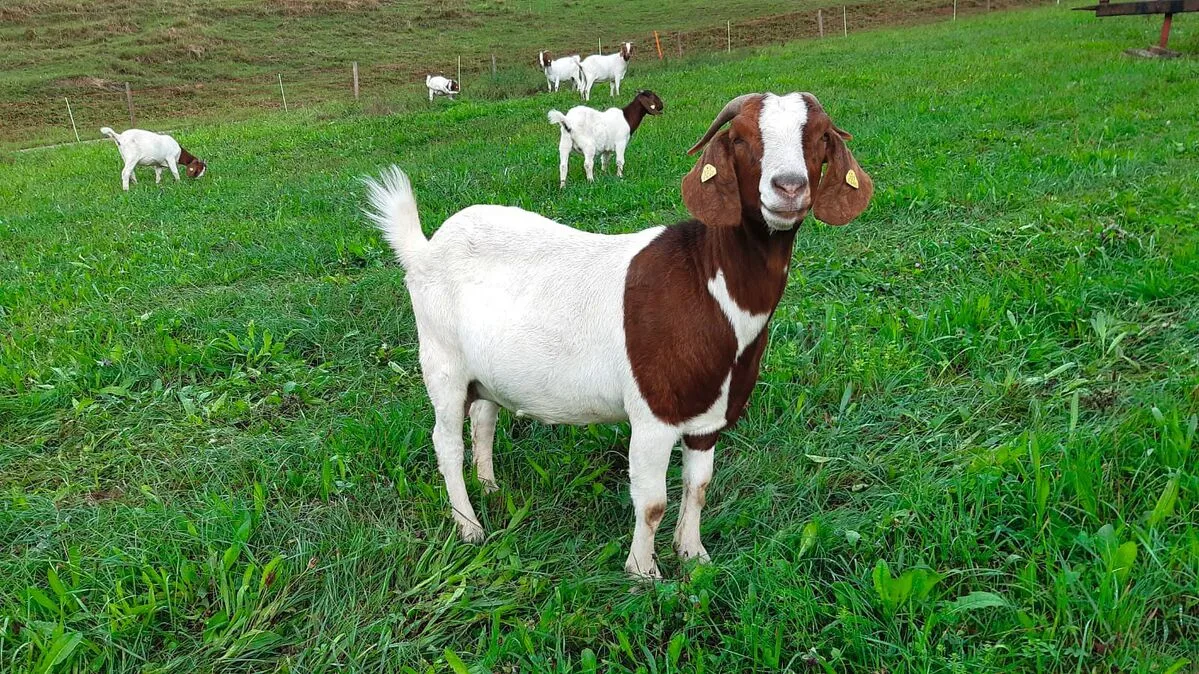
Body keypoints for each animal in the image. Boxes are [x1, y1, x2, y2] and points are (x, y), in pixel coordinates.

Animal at [363, 92, 873, 579]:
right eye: (741, 139)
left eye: (821, 138)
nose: (789, 187)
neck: (709, 283)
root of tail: (423, 248)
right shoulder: (653, 413)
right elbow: (652, 503)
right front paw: (644, 572)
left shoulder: (708, 418)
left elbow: (699, 487)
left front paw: (693, 554)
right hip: (441, 362)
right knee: (446, 442)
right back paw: (468, 525)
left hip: (485, 370)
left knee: (483, 420)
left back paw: (489, 488)